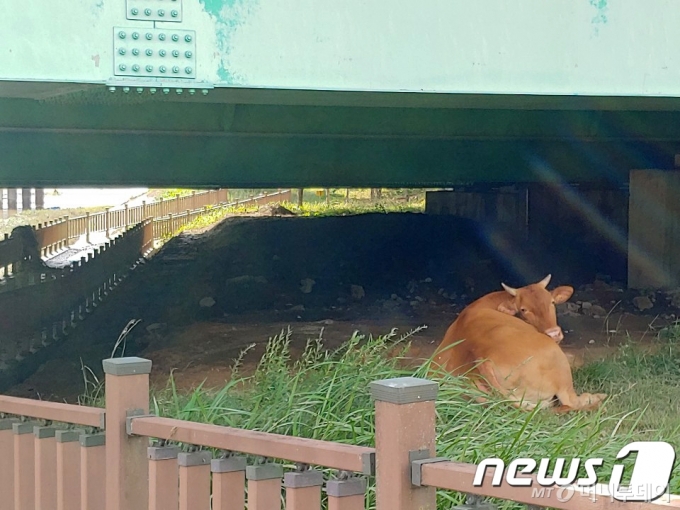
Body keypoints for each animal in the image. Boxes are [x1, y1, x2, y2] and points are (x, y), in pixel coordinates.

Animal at [430, 274, 604, 414]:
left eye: (552, 302)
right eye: (523, 309)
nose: (554, 333)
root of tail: (484, 361)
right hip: (559, 365)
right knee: (571, 402)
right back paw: (596, 398)